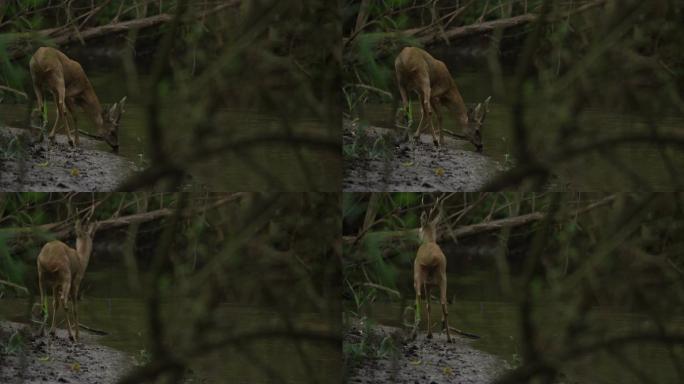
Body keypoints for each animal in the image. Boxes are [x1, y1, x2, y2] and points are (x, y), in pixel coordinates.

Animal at [36, 213, 97, 342]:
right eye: (91, 237)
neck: (81, 260)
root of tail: (49, 261)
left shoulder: (55, 284)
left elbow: (55, 303)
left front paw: (52, 331)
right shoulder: (77, 280)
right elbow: (75, 308)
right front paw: (78, 335)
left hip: (41, 274)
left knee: (44, 301)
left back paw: (41, 332)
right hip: (66, 274)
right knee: (64, 301)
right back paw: (71, 335)